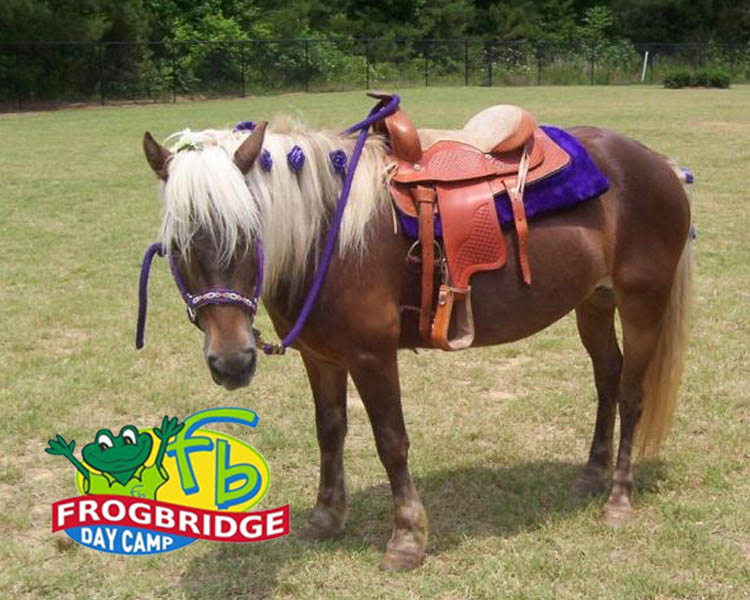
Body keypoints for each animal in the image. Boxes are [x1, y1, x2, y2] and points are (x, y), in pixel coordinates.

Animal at [139, 99, 691, 570]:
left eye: (250, 232)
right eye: (176, 245)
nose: (232, 363)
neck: (330, 233)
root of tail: (659, 164)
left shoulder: (372, 355)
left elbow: (391, 442)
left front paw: (407, 540)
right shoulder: (320, 356)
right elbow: (329, 430)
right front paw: (326, 517)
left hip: (641, 304)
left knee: (632, 394)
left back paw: (618, 498)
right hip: (593, 303)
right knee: (607, 379)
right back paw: (592, 475)